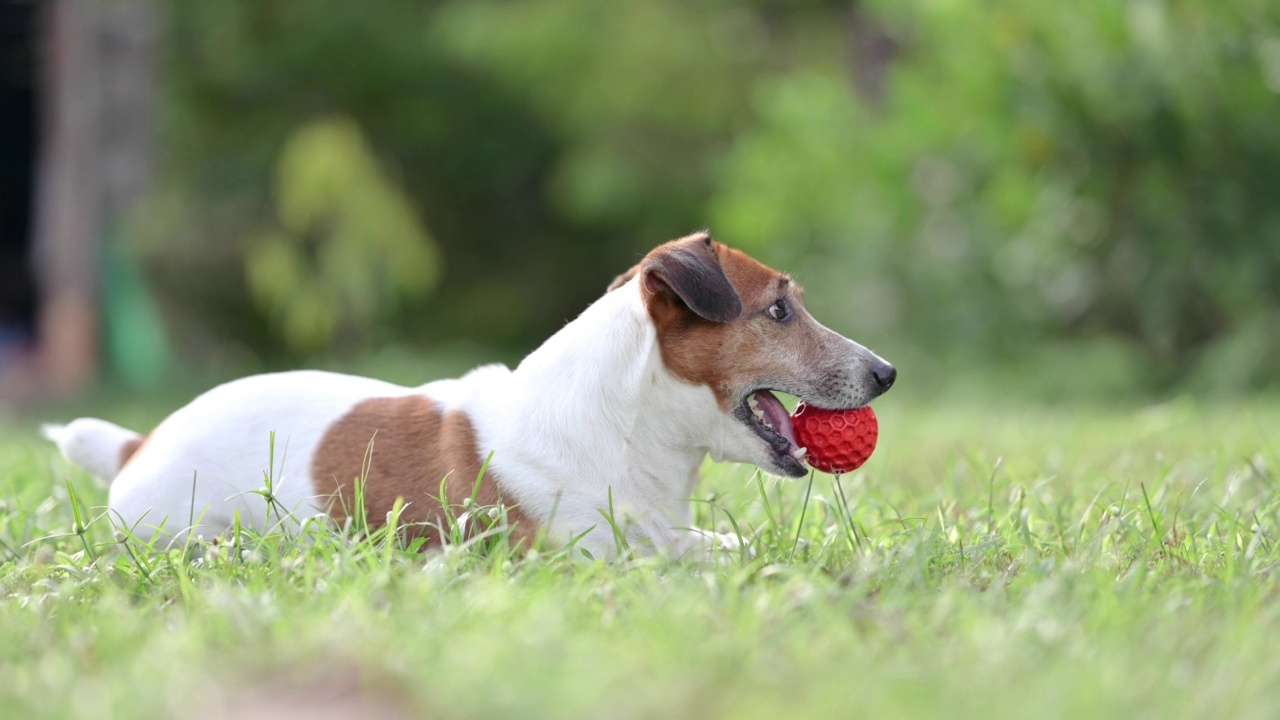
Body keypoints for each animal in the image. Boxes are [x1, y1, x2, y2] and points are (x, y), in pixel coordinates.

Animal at [45, 234, 896, 556]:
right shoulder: (578, 556)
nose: (886, 373)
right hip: (188, 531)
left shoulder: (672, 537)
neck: (624, 431)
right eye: (779, 311)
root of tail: (141, 443)